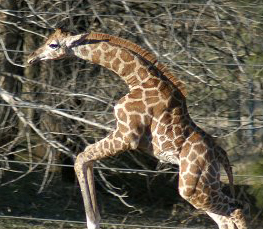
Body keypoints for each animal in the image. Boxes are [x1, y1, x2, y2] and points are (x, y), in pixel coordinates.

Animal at [27, 28, 249, 229]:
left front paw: (93, 221)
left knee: (236, 209)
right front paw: (94, 219)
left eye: (53, 44)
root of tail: (220, 154)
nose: (31, 58)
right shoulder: (125, 136)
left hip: (191, 185)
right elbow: (85, 158)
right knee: (225, 217)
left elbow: (81, 157)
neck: (137, 79)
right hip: (203, 183)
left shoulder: (127, 136)